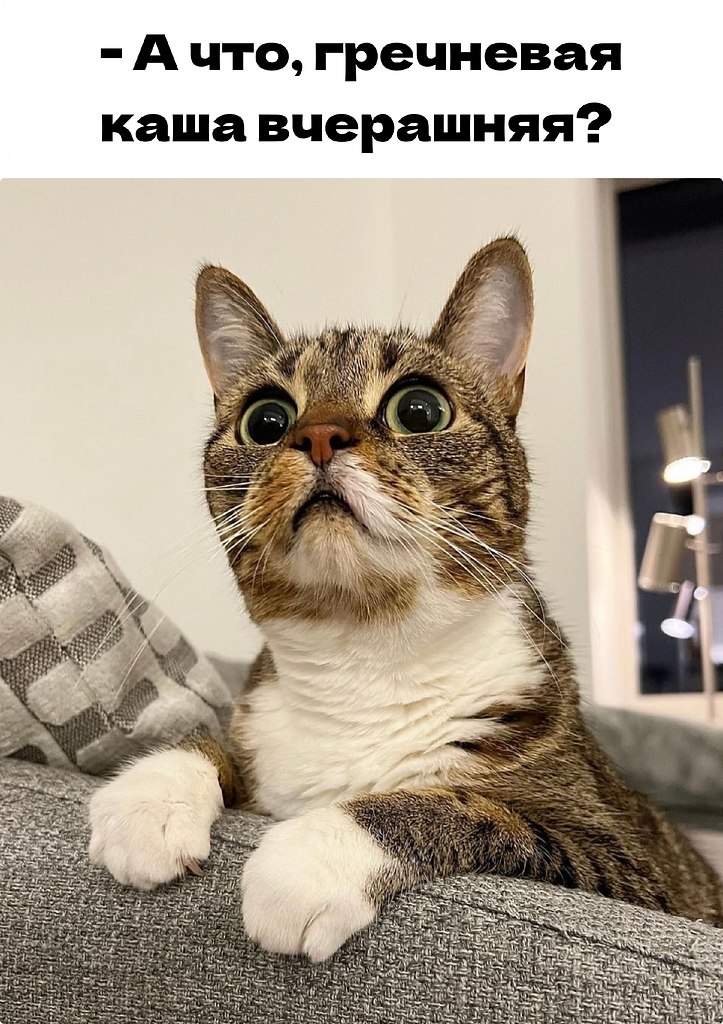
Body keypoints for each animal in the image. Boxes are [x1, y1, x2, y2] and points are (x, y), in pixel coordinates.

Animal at [89, 237, 723, 961]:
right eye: (266, 419)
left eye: (419, 409)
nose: (317, 435)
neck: (365, 651)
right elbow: (215, 739)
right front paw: (150, 797)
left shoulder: (622, 859)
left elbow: (472, 807)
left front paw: (310, 860)